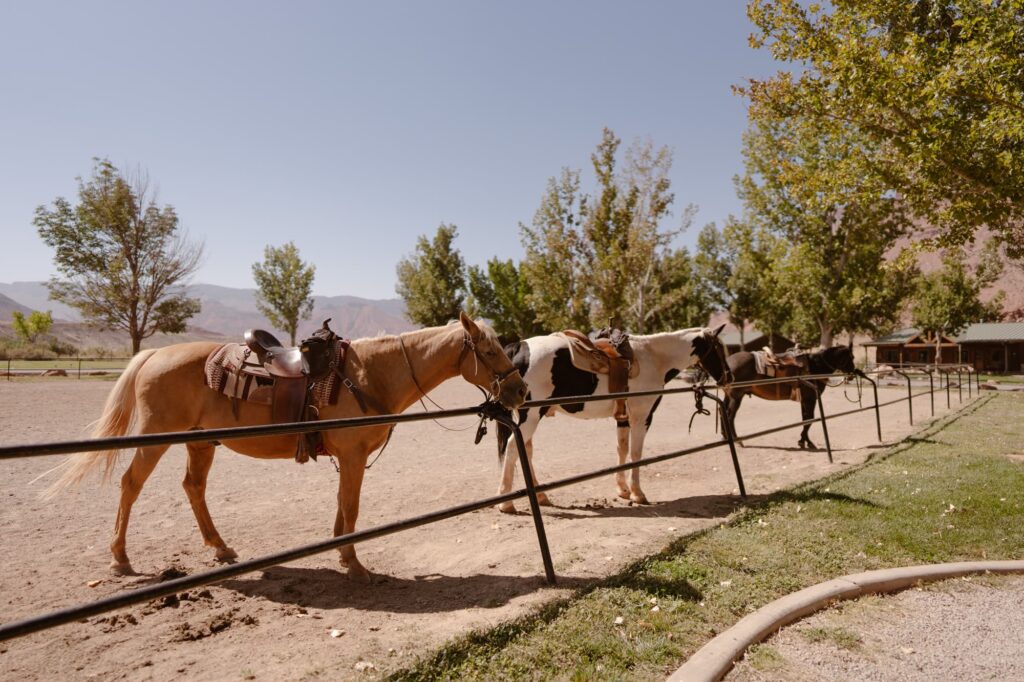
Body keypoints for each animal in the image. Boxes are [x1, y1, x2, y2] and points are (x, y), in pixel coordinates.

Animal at [49, 311, 528, 577]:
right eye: (488, 350)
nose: (520, 391)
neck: (368, 374)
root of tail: (153, 355)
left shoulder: (348, 459)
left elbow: (342, 507)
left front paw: (342, 555)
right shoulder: (353, 456)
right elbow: (351, 507)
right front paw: (354, 564)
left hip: (200, 443)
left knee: (193, 488)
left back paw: (221, 548)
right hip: (155, 439)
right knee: (131, 484)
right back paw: (120, 559)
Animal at [493, 323, 729, 509]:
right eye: (719, 348)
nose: (728, 377)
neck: (654, 357)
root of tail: (519, 347)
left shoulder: (623, 418)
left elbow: (622, 449)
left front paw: (623, 490)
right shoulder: (642, 417)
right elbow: (636, 453)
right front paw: (637, 493)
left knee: (525, 450)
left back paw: (541, 496)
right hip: (531, 416)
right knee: (513, 447)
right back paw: (506, 502)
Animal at [724, 342, 860, 448]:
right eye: (851, 357)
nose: (852, 374)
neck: (815, 367)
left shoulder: (804, 400)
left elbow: (805, 419)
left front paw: (805, 441)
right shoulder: (810, 399)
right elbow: (809, 419)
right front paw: (804, 441)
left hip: (728, 397)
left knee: (723, 415)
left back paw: (725, 438)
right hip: (736, 397)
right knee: (730, 417)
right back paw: (737, 441)